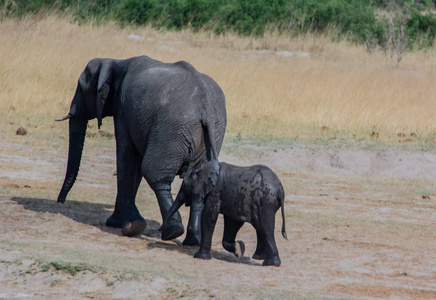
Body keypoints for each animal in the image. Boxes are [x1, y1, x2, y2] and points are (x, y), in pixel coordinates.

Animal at [55, 55, 227, 245]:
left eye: (80, 87)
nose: (60, 201)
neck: (116, 62)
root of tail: (206, 108)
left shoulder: (123, 110)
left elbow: (127, 158)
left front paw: (130, 226)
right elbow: (134, 166)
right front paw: (116, 222)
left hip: (171, 129)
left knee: (154, 173)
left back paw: (172, 232)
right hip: (213, 133)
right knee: (197, 182)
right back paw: (192, 241)